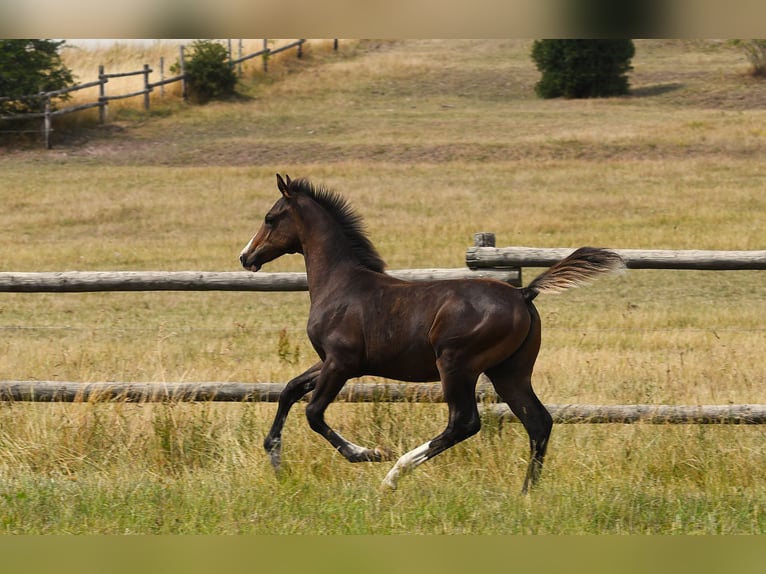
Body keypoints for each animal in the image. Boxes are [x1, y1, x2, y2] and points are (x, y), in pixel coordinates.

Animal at [243, 176, 628, 496]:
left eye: (270, 217)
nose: (246, 256)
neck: (340, 283)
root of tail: (523, 294)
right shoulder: (329, 362)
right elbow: (289, 389)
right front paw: (275, 458)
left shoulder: (341, 363)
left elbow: (313, 412)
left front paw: (371, 453)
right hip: (509, 371)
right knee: (538, 421)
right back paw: (525, 494)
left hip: (457, 365)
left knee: (465, 422)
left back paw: (394, 474)